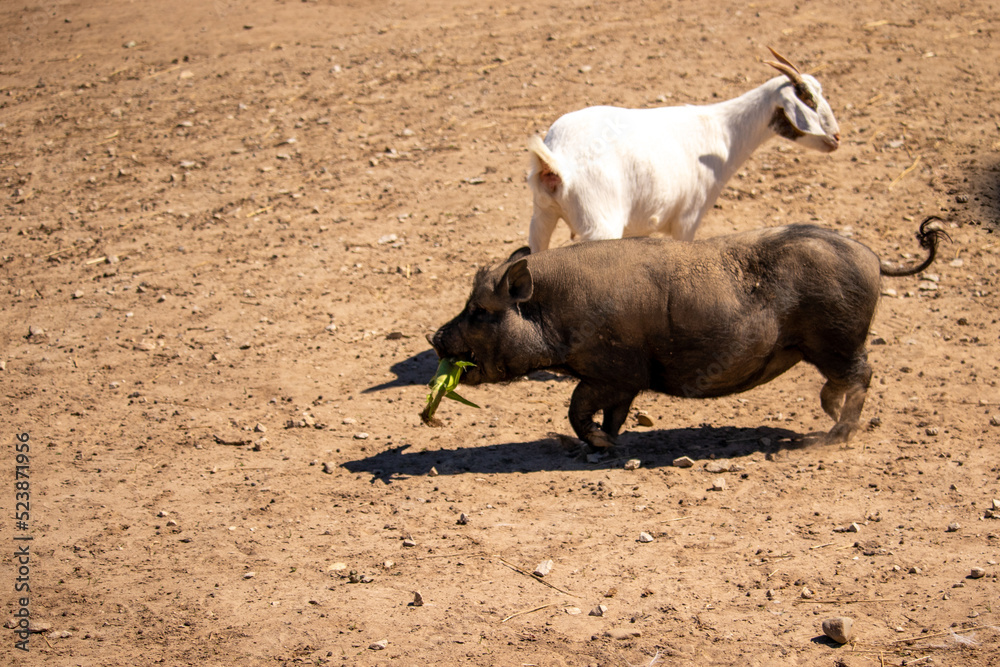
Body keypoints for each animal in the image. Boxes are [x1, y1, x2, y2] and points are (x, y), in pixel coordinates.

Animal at [428, 217, 946, 448]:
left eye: (479, 311)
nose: (434, 338)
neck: (553, 311)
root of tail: (872, 256)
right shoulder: (622, 382)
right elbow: (612, 414)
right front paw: (613, 444)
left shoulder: (611, 372)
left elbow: (576, 409)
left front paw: (599, 446)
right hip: (829, 344)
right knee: (844, 382)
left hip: (837, 339)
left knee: (863, 375)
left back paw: (825, 438)